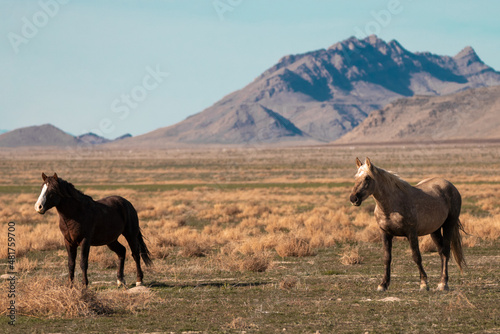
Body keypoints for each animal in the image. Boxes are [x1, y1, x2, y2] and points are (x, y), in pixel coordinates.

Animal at [348, 158, 464, 290]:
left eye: (367, 178)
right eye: (355, 177)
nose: (353, 198)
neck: (391, 207)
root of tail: (451, 186)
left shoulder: (411, 233)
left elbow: (416, 256)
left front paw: (424, 283)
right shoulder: (385, 233)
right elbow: (387, 258)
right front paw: (383, 284)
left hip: (449, 225)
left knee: (446, 251)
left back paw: (443, 283)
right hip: (435, 230)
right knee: (441, 252)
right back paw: (441, 282)